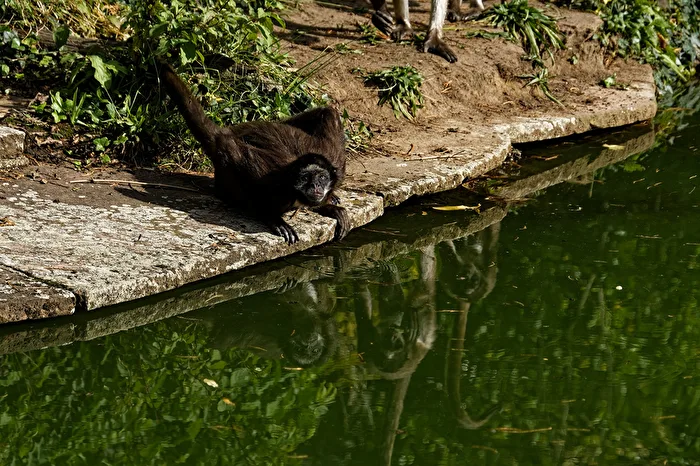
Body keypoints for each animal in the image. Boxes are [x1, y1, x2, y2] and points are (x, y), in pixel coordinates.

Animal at [158, 62, 350, 244]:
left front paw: (328, 206)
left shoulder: (334, 159)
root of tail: (227, 130)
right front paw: (274, 219)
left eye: (322, 178)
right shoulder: (273, 181)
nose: (316, 186)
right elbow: (240, 161)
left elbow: (328, 112)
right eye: (305, 178)